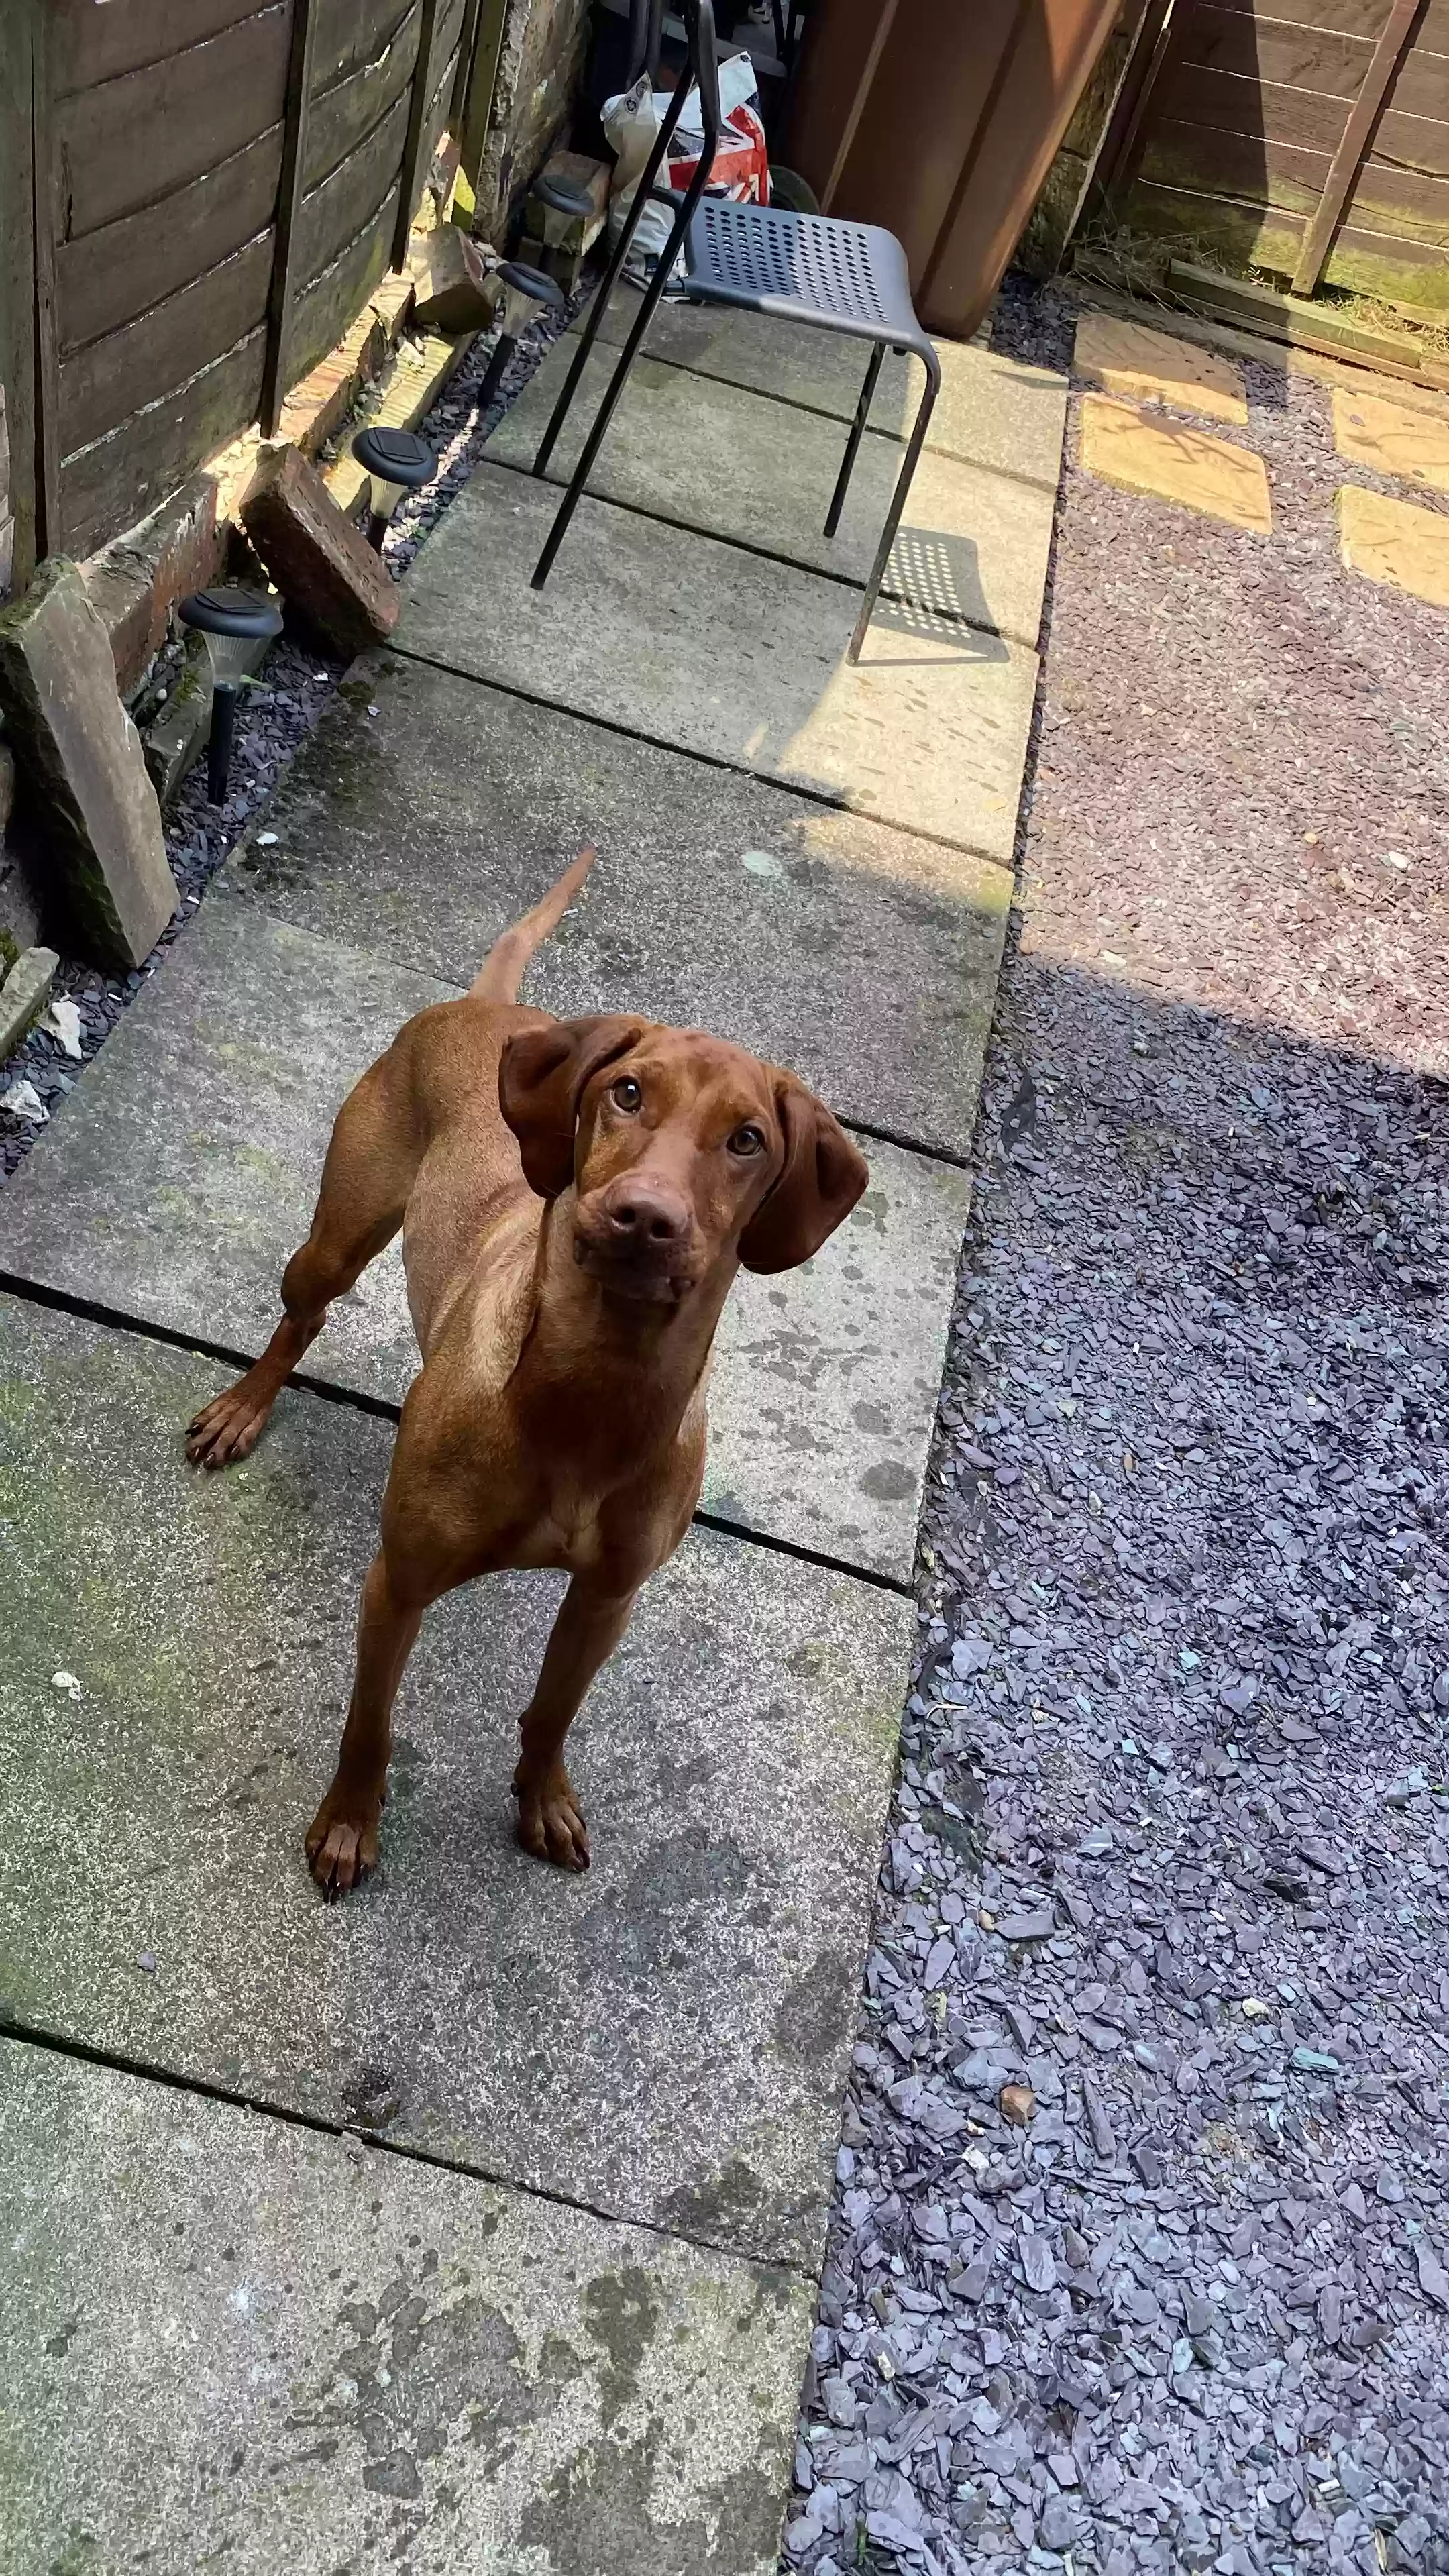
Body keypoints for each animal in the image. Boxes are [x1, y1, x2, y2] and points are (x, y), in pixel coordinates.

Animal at [179, 855, 856, 1906]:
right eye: (627, 1093)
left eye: (747, 1139)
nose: (643, 1217)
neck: (592, 1388)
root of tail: (487, 1006)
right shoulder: (398, 1583)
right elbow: (370, 1728)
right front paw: (350, 1825)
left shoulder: (606, 1601)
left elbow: (552, 1712)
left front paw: (542, 1797)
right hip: (335, 1237)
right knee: (301, 1318)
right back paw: (243, 1409)